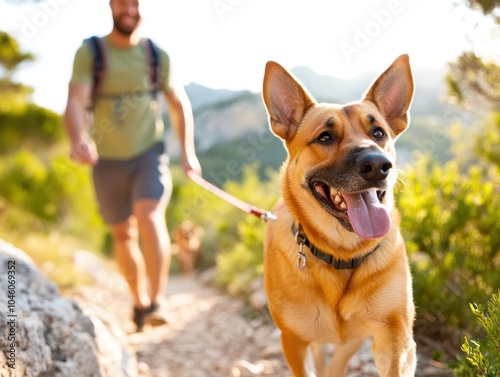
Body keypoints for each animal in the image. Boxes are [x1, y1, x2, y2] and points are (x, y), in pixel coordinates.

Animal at [264, 53, 416, 376]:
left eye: (378, 133)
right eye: (325, 137)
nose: (378, 166)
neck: (342, 253)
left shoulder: (394, 337)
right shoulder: (294, 341)